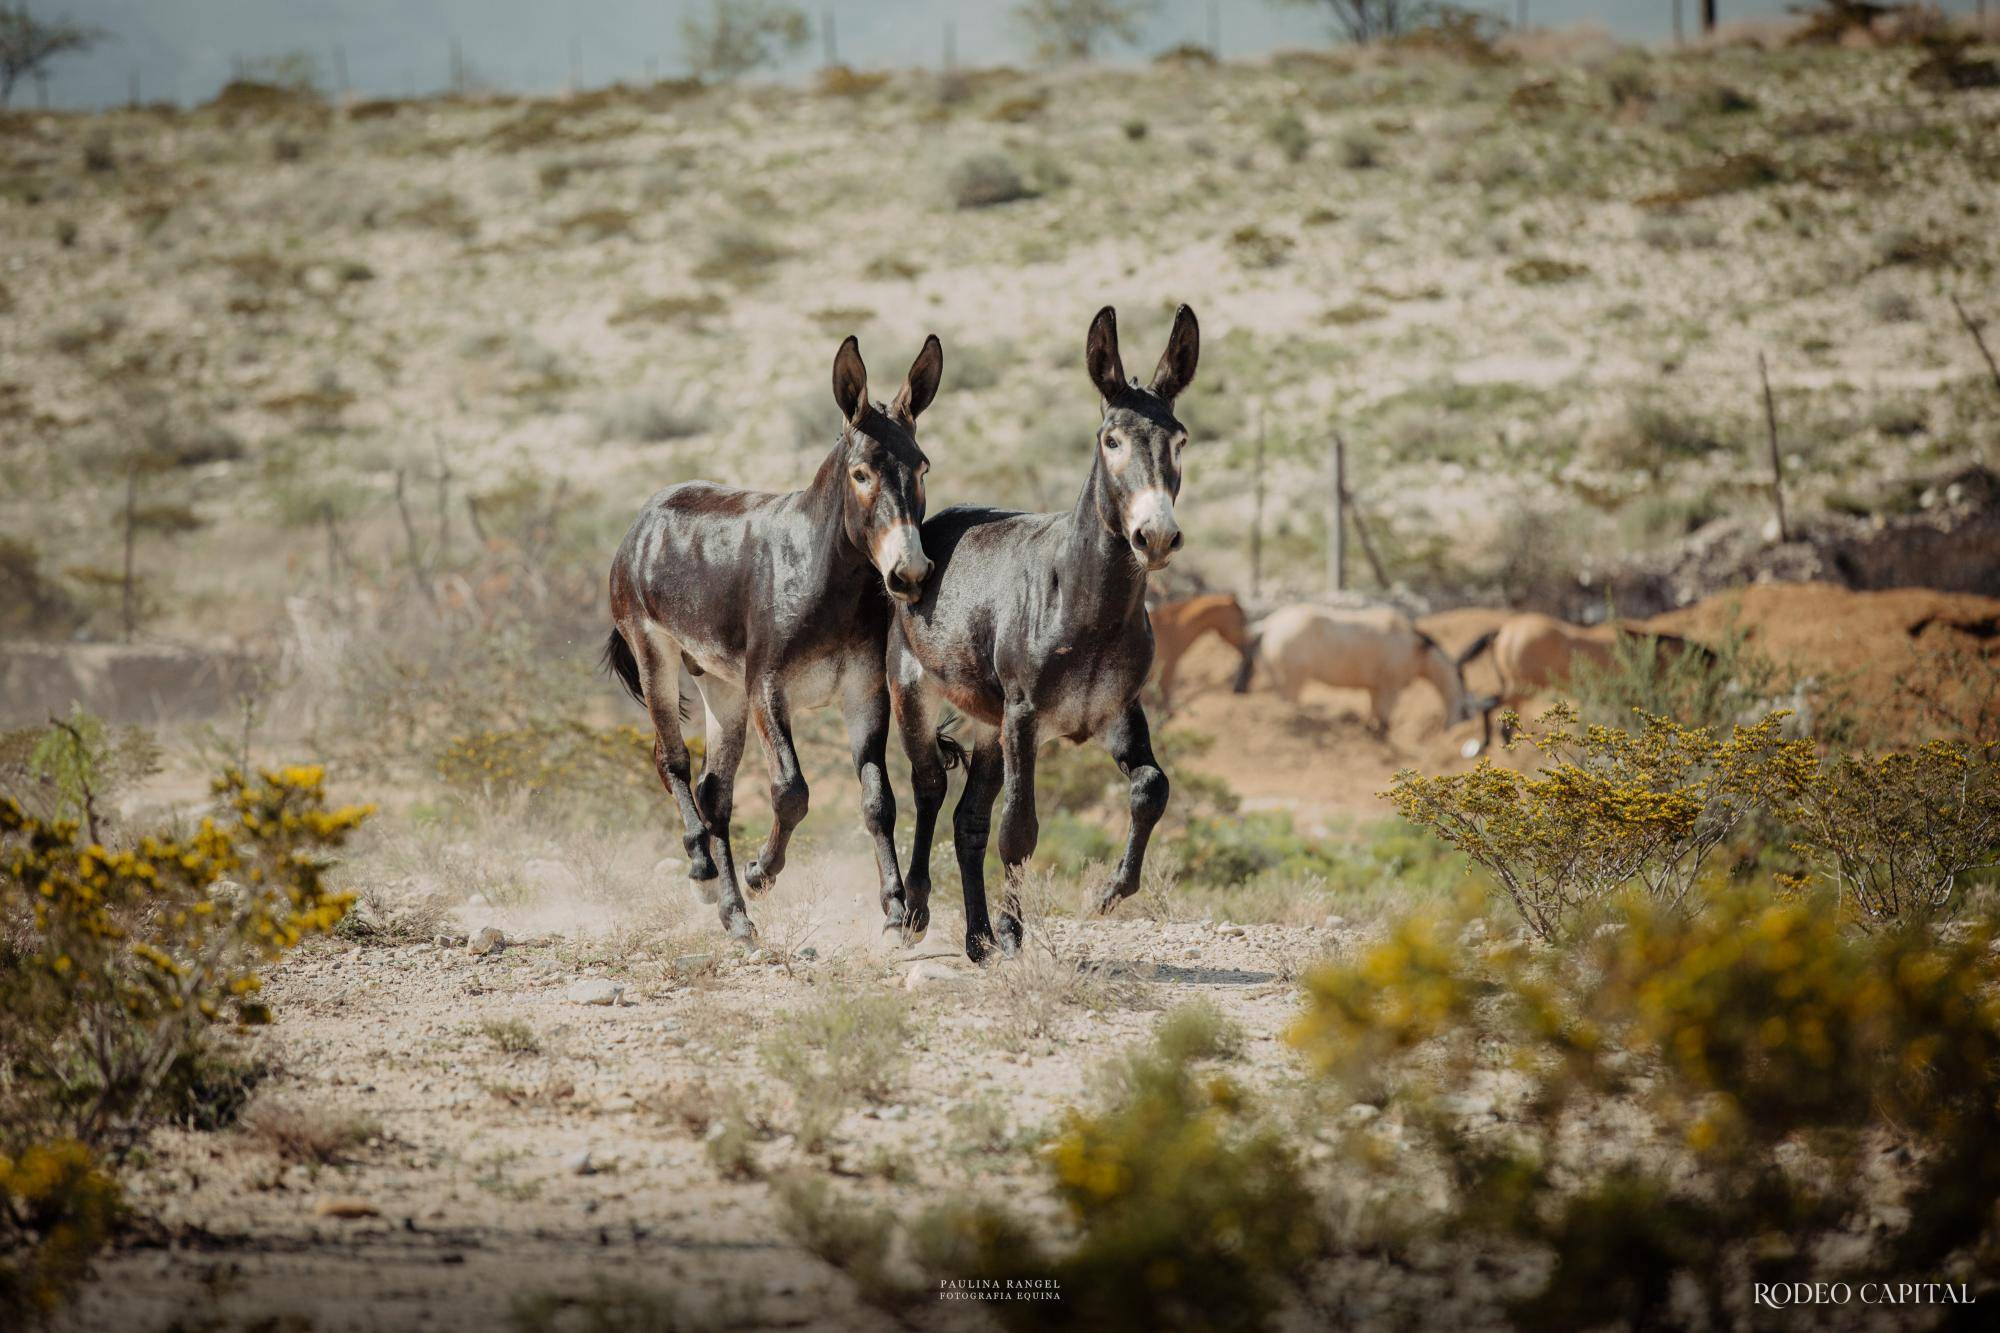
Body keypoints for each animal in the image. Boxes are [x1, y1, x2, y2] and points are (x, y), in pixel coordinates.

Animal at [600, 330, 944, 940]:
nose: (910, 576)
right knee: (674, 762)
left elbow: (878, 801)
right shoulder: (767, 688)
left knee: (715, 790)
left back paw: (733, 914)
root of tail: (648, 513)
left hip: (721, 687)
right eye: (861, 474)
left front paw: (895, 908)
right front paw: (763, 870)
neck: (828, 578)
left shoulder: (863, 694)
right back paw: (705, 870)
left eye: (922, 468)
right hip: (654, 653)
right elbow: (792, 791)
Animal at [1256, 600, 1496, 748]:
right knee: (1290, 704)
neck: (1416, 647)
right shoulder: (1390, 688)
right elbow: (1384, 720)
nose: (1453, 735)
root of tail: (1270, 624)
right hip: (1293, 681)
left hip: (1281, 680)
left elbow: (1373, 716)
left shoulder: (1374, 688)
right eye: (1467, 713)